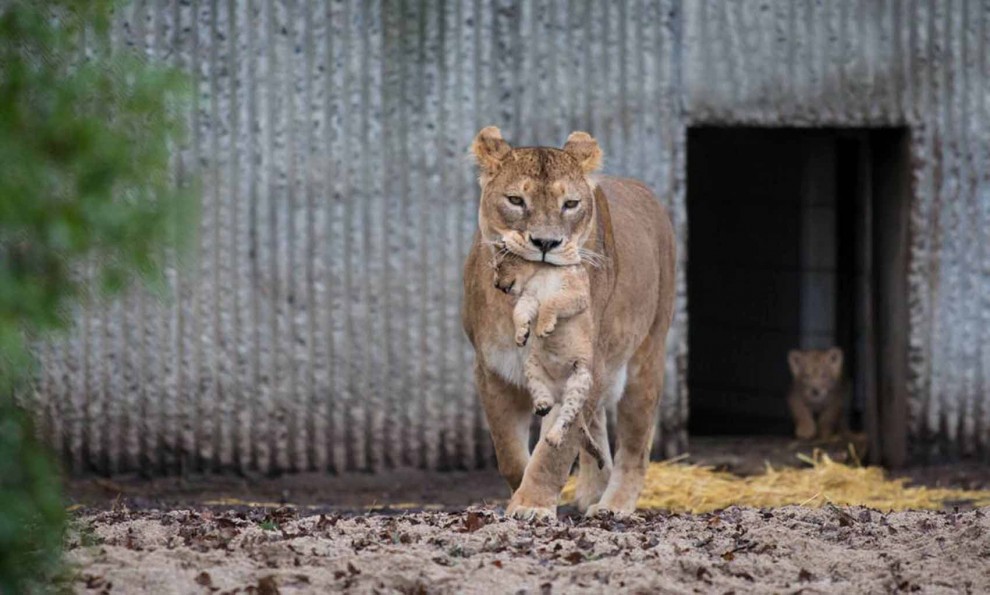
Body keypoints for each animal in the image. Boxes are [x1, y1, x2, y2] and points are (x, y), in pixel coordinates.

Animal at [489, 247, 606, 470]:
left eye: (499, 266)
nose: (496, 286)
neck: (541, 270)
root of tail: (560, 391)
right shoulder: (530, 297)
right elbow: (519, 312)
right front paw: (521, 334)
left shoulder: (575, 292)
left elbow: (552, 301)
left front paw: (544, 327)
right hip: (531, 365)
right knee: (543, 394)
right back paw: (542, 405)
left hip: (579, 380)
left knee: (566, 417)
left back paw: (554, 437)